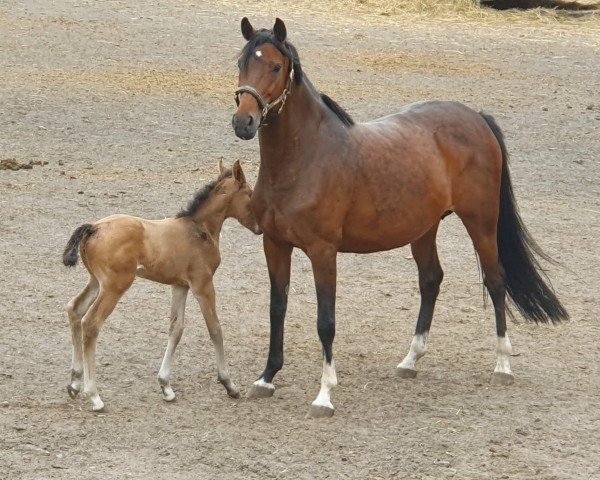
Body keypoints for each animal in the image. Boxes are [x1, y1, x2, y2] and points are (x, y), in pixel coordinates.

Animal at [62, 162, 262, 412]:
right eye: (250, 193)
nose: (260, 227)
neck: (199, 230)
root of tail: (94, 228)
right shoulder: (202, 284)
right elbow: (215, 329)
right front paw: (229, 384)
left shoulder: (180, 286)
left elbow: (176, 329)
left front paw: (166, 386)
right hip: (114, 286)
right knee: (91, 323)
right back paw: (94, 396)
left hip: (96, 281)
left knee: (75, 309)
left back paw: (74, 383)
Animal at [230, 18, 568, 416]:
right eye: (241, 62)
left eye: (275, 67)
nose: (244, 122)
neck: (304, 159)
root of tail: (478, 119)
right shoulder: (275, 244)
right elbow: (276, 308)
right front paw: (267, 377)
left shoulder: (322, 251)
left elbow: (325, 322)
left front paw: (324, 395)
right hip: (424, 229)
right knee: (431, 279)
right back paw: (410, 360)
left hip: (481, 222)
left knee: (496, 280)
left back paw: (502, 365)